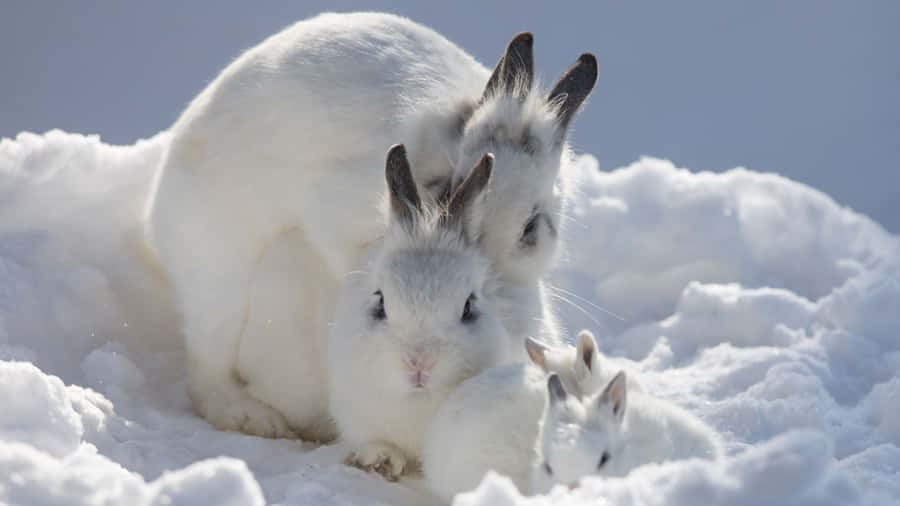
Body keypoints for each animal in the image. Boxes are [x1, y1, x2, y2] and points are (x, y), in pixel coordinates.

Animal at [144, 11, 597, 439]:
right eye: (450, 186)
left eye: (531, 227)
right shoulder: (336, 212)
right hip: (220, 283)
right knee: (207, 368)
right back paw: (251, 417)